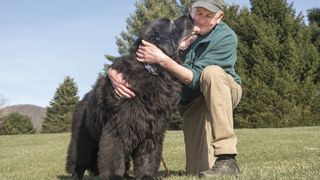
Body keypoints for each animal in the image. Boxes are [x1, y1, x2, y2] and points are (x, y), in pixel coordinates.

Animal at [65, 14, 195, 180]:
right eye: (171, 23)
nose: (190, 16)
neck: (153, 71)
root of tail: (83, 99)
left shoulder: (152, 129)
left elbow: (148, 156)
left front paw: (146, 175)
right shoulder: (118, 128)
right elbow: (114, 155)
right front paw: (114, 176)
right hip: (83, 140)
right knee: (79, 163)